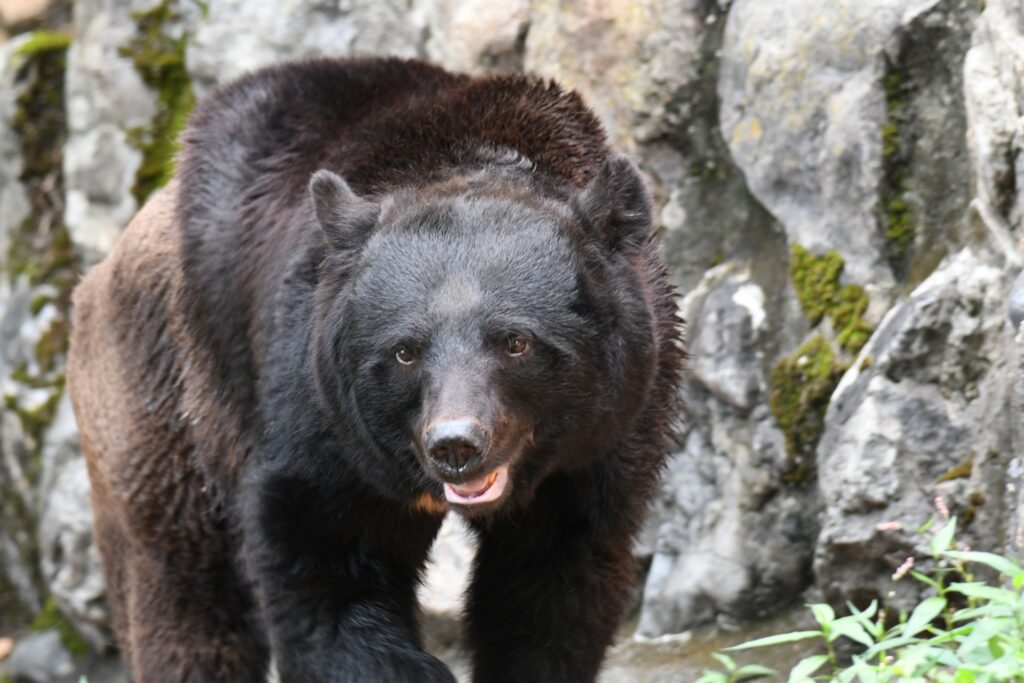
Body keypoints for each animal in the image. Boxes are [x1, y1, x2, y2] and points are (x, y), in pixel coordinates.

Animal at [68, 57, 684, 683]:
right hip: (164, 393)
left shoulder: (600, 442)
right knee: (182, 585)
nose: (456, 445)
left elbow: (551, 588)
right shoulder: (317, 413)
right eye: (405, 351)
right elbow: (321, 575)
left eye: (516, 341)